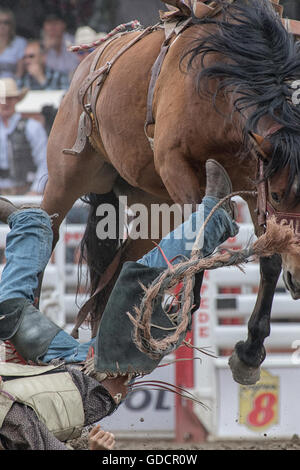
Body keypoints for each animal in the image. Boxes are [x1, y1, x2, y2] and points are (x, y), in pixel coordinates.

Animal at [41, 0, 300, 386]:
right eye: (282, 196)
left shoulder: (254, 178)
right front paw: (180, 314)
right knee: (50, 230)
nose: (298, 279)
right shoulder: (176, 165)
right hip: (66, 177)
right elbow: (200, 237)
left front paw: (249, 354)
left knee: (122, 265)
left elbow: (269, 259)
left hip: (154, 207)